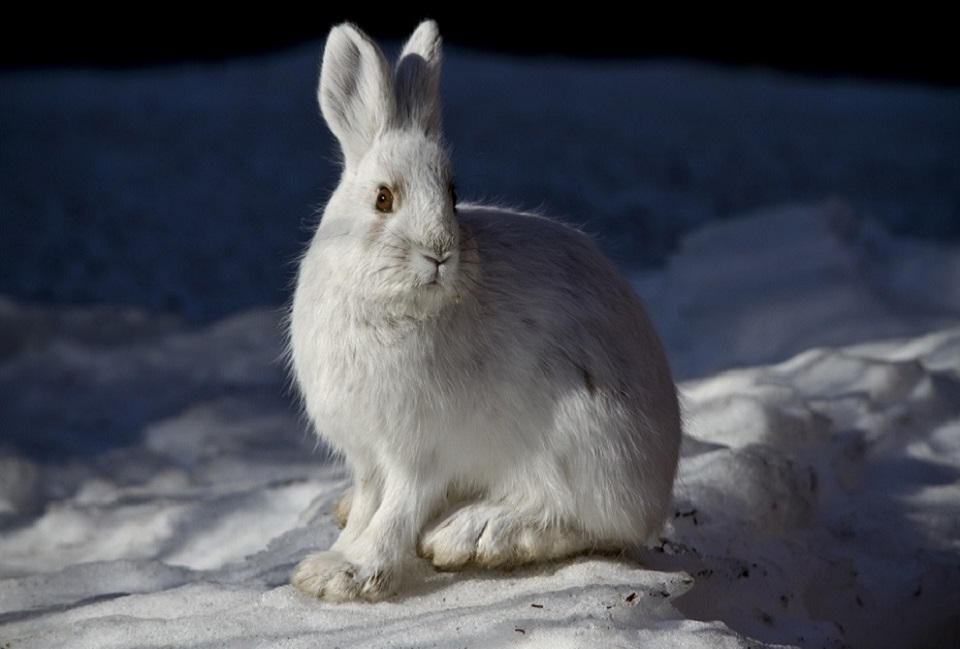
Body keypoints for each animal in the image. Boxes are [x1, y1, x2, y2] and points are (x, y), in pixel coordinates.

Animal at [288, 19, 682, 602]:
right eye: (383, 199)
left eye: (453, 195)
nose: (440, 251)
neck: (399, 306)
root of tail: (657, 485)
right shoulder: (369, 455)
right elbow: (368, 506)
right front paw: (331, 562)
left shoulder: (420, 452)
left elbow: (395, 512)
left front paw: (353, 574)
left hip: (581, 439)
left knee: (579, 520)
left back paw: (475, 533)